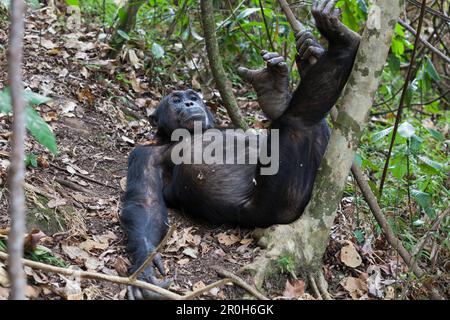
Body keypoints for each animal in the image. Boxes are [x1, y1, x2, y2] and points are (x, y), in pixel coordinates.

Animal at [118, 0, 358, 300]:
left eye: (193, 96)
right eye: (175, 100)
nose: (189, 103)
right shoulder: (144, 156)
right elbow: (145, 203)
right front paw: (146, 267)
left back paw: (281, 86)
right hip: (281, 202)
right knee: (297, 121)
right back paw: (343, 42)